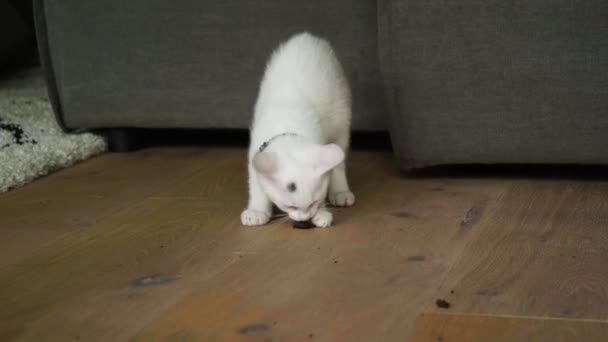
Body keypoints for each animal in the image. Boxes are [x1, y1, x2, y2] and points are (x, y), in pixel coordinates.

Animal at [241, 32, 356, 228]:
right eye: (291, 206)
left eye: (314, 203)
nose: (304, 219)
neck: (289, 124)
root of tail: (307, 36)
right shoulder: (256, 152)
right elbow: (256, 185)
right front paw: (257, 211)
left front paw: (322, 213)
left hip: (341, 117)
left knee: (339, 162)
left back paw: (340, 192)